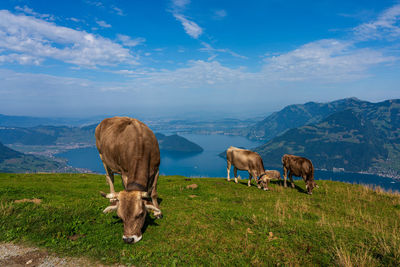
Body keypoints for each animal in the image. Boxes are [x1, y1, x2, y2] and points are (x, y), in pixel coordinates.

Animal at [94, 117, 162, 245]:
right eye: (120, 217)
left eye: (140, 214)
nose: (129, 239)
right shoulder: (125, 171)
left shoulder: (156, 169)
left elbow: (154, 193)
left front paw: (157, 212)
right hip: (103, 157)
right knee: (110, 176)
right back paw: (112, 198)